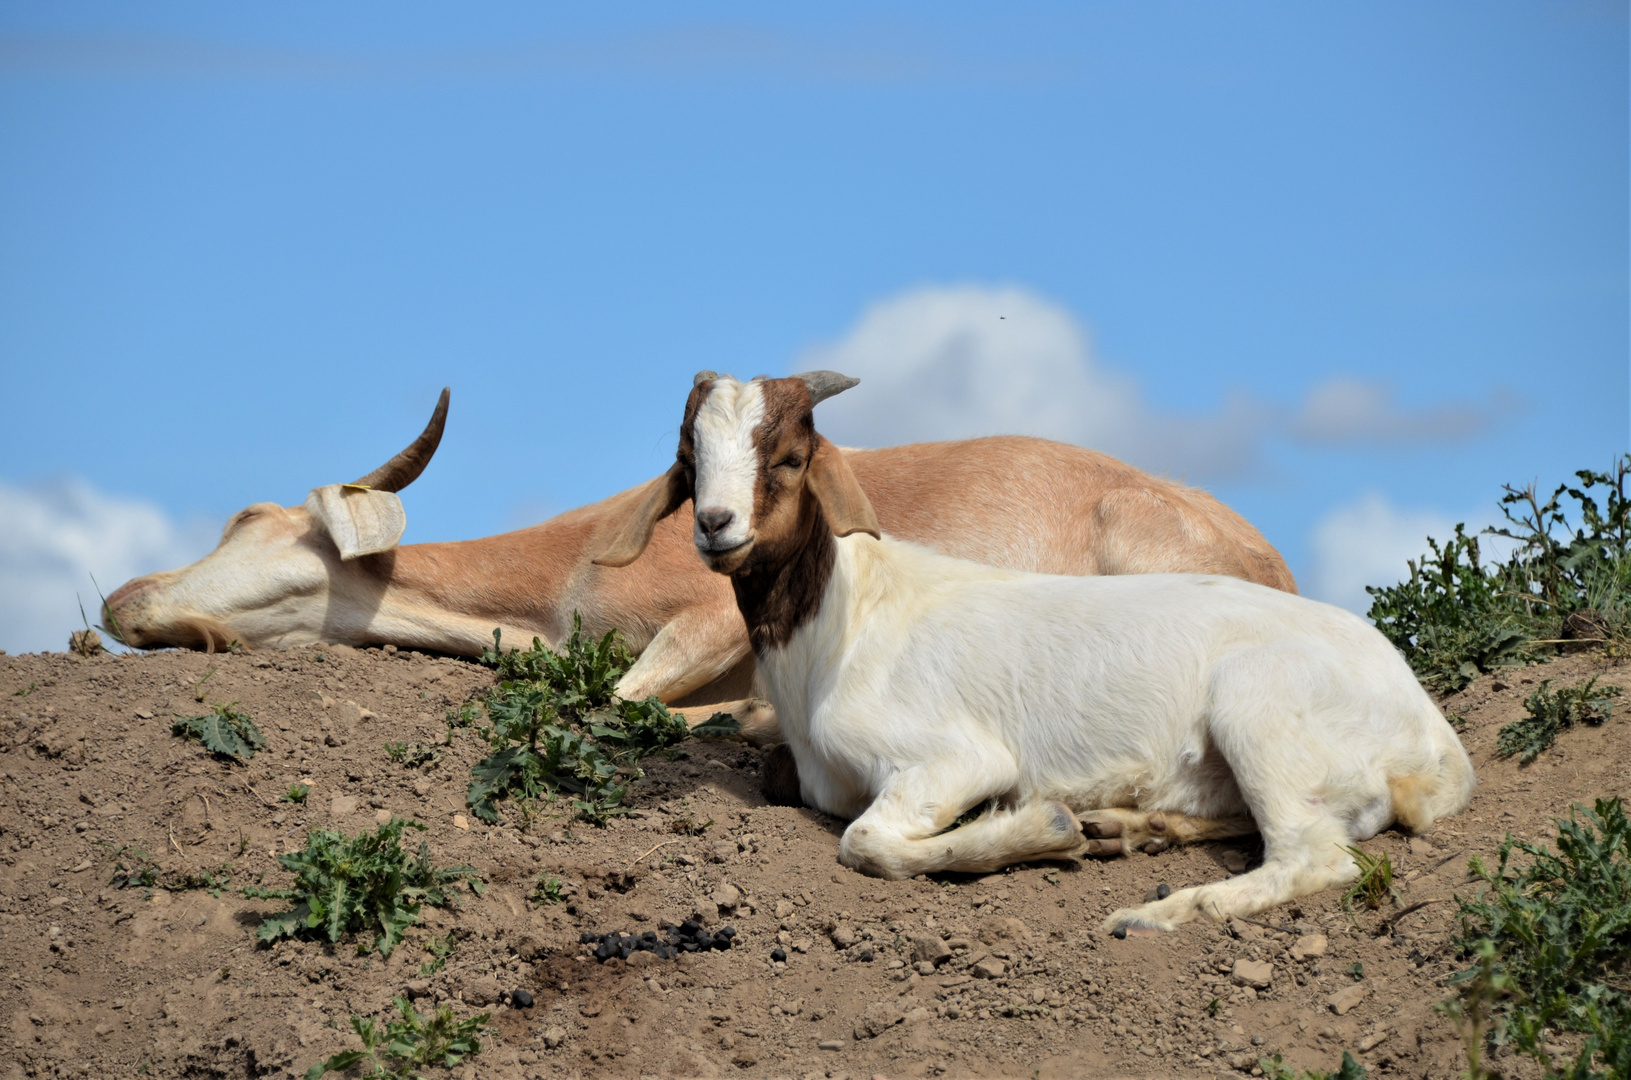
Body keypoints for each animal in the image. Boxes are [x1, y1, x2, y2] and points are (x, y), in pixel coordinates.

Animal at [600, 371, 1480, 933]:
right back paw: (1129, 829)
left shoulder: (950, 758)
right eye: (689, 460)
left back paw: (1155, 910)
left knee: (1315, 859)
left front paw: (1041, 828)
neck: (842, 622)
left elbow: (867, 844)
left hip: (1258, 717)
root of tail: (1434, 743)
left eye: (787, 457)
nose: (715, 526)